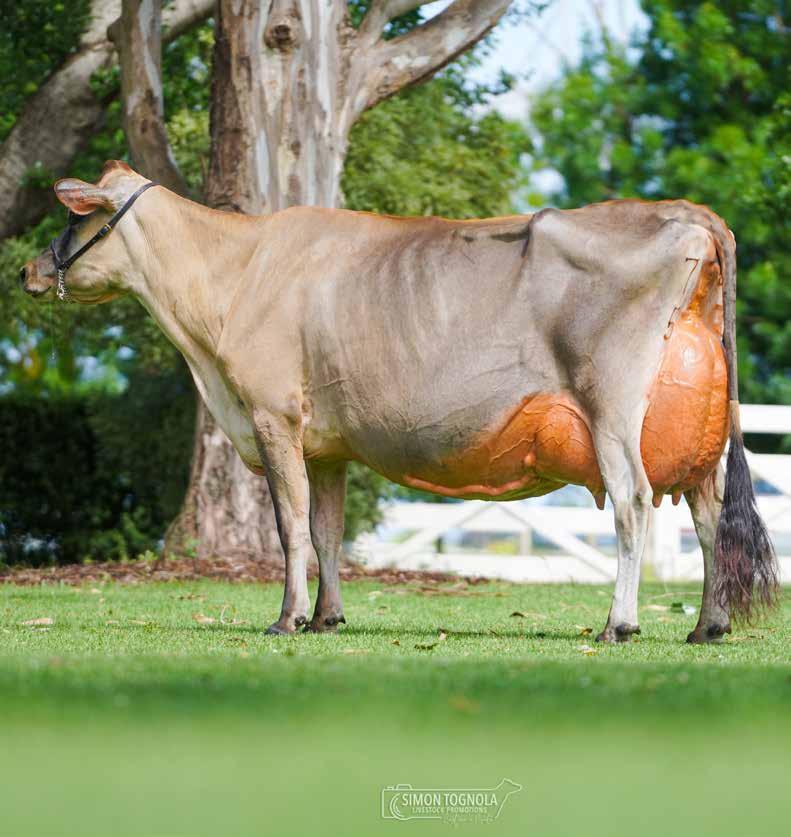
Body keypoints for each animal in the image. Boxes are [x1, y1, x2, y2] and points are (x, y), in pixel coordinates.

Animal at [20, 161, 777, 642]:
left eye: (71, 220)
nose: (27, 269)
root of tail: (685, 213)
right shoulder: (325, 442)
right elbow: (326, 529)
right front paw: (327, 617)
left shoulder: (272, 415)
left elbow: (290, 527)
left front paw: (286, 618)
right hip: (691, 430)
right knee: (709, 514)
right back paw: (706, 626)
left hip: (611, 404)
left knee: (632, 502)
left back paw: (620, 623)